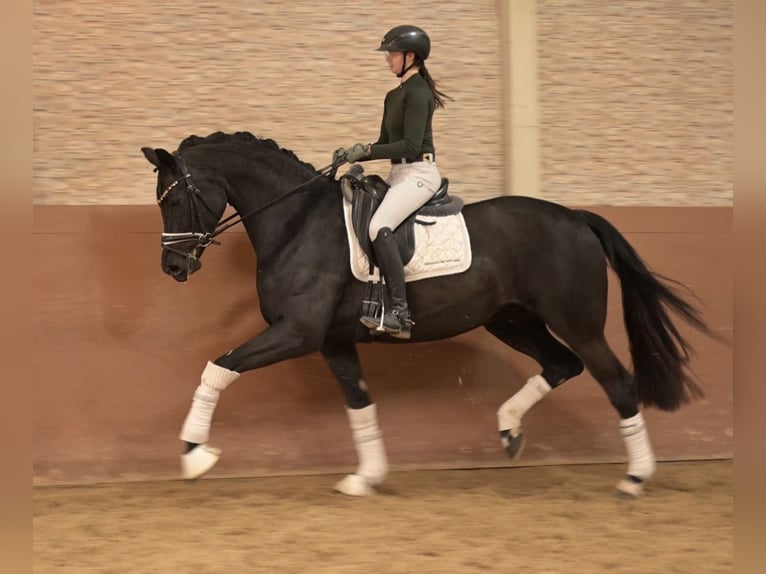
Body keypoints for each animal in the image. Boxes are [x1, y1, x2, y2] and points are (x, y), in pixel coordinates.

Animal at [141, 131, 716, 497]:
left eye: (174, 199)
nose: (172, 266)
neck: (296, 222)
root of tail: (574, 217)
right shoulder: (332, 340)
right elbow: (359, 403)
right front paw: (367, 477)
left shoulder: (297, 333)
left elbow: (218, 367)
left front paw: (194, 455)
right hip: (512, 320)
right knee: (561, 365)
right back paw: (509, 430)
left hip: (577, 321)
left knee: (616, 382)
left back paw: (635, 478)